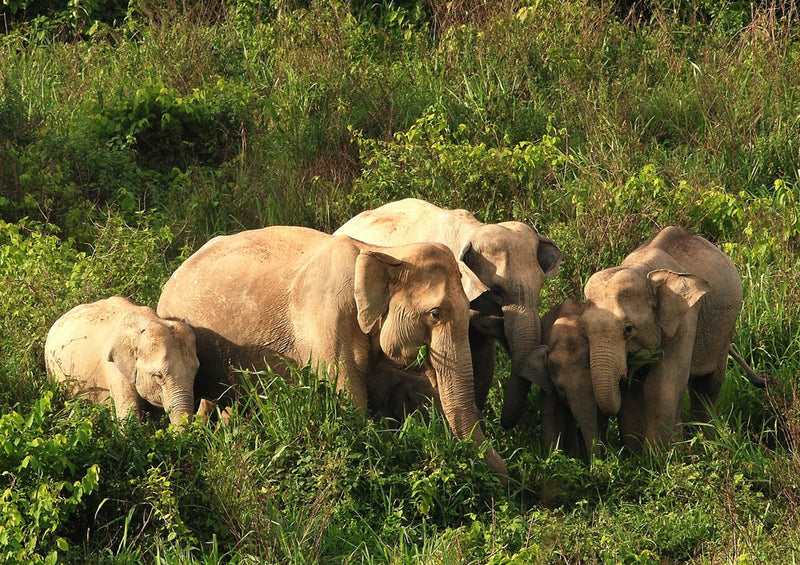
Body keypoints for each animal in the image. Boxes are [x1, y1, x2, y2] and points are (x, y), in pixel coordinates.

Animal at [580, 225, 744, 450]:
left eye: (628, 329)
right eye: (585, 333)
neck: (641, 271)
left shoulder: (686, 319)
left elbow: (661, 386)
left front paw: (659, 454)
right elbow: (633, 392)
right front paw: (635, 453)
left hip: (724, 332)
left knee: (707, 385)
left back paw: (706, 442)